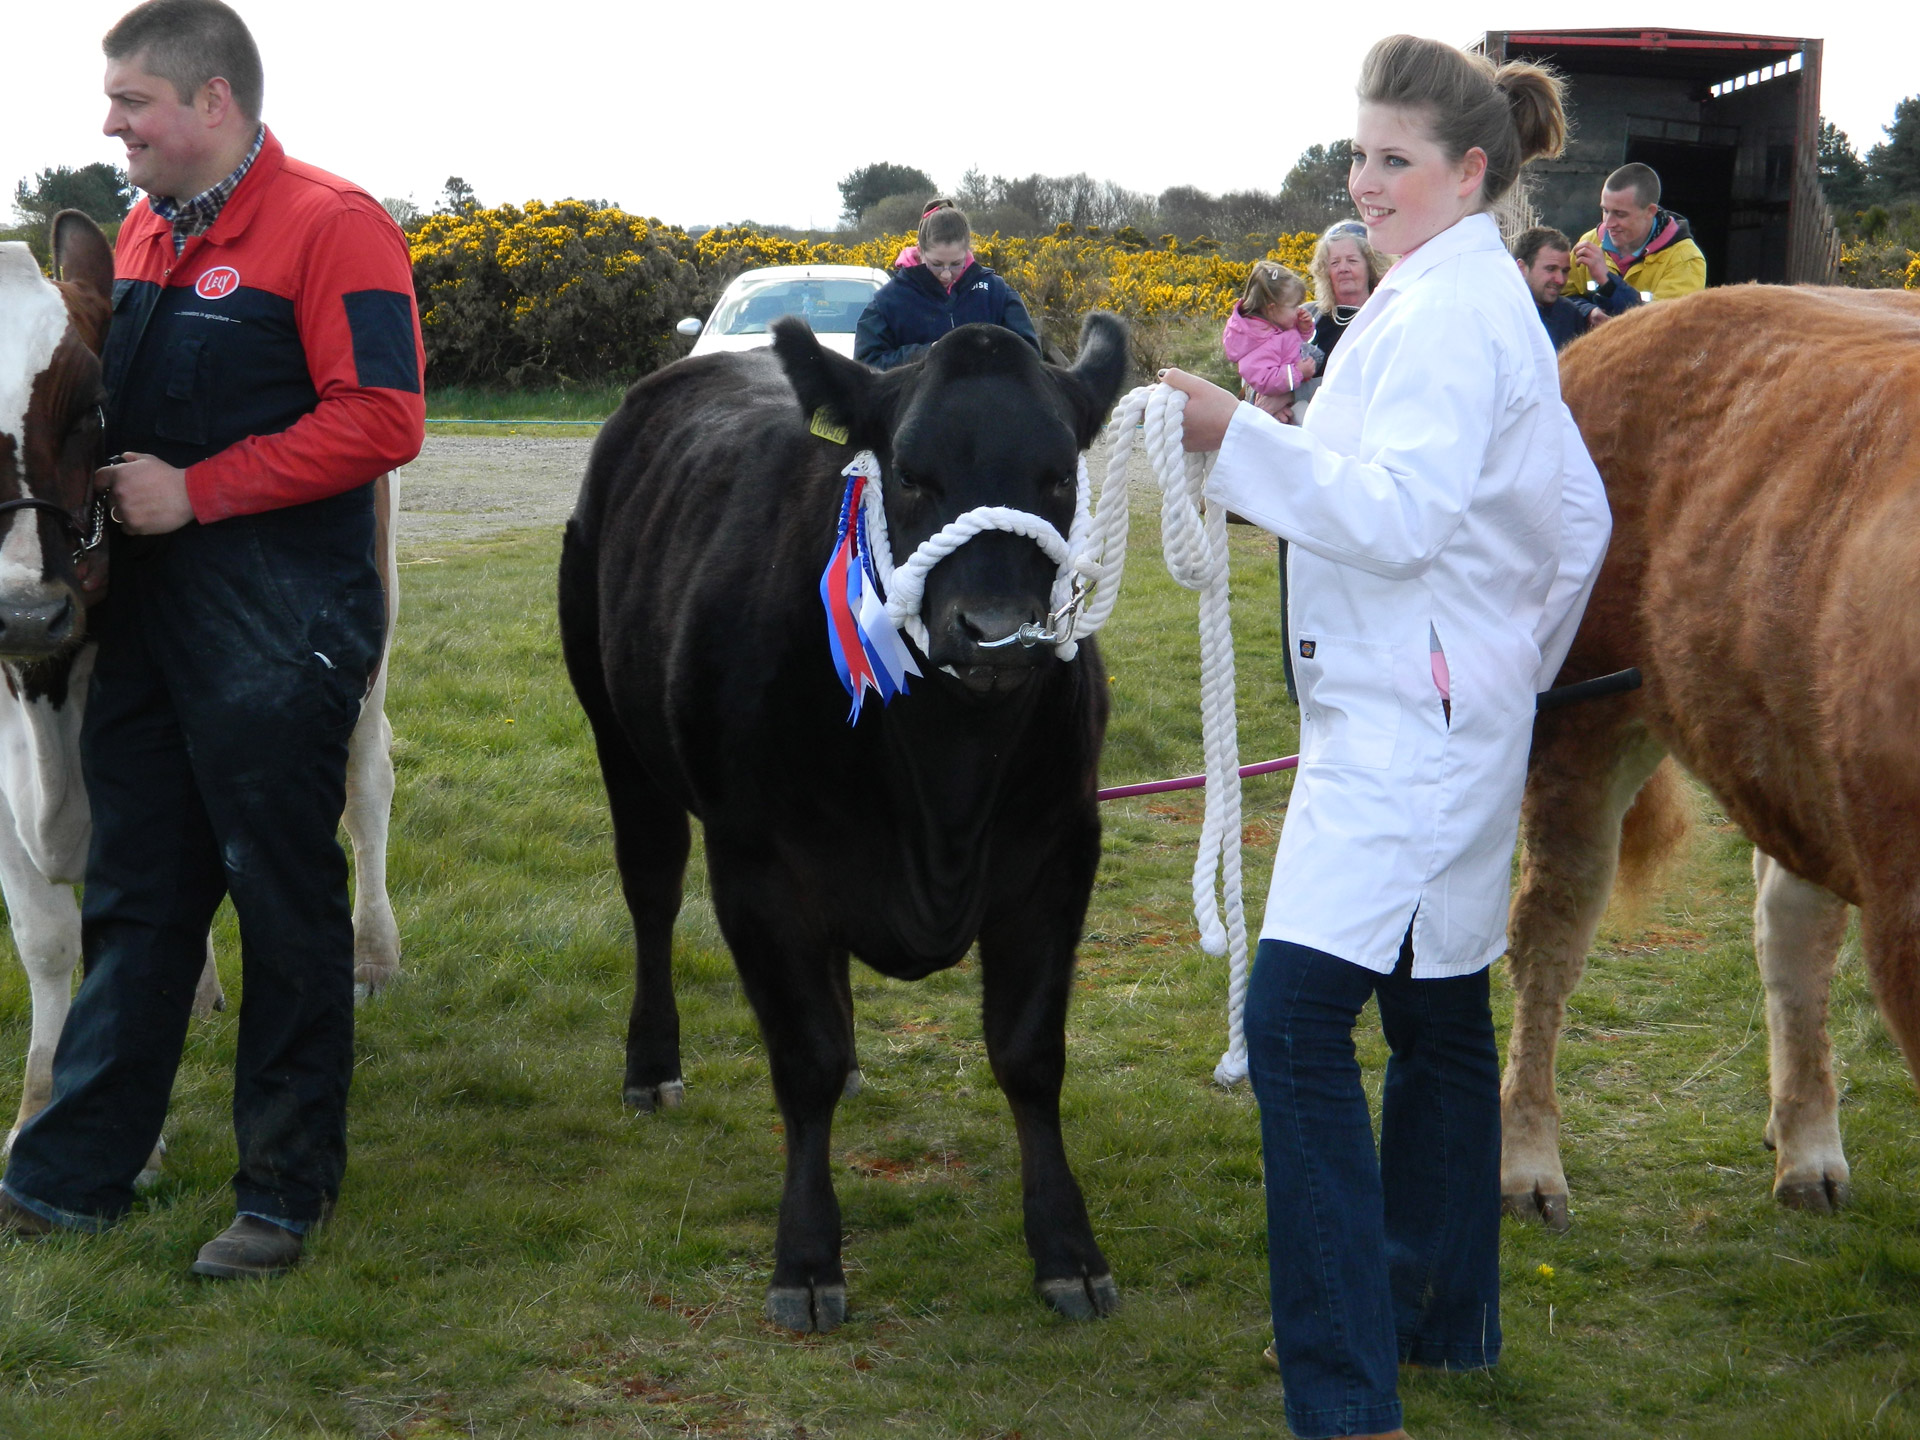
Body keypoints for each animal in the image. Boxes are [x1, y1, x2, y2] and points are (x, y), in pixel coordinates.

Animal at [552, 312, 1121, 1328]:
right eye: (911, 473)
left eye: (1058, 475)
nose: (995, 631)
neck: (945, 786)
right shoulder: (757, 865)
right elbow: (801, 1061)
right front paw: (808, 1261)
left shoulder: (1059, 851)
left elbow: (1028, 1053)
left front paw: (1068, 1250)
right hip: (614, 727)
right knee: (650, 892)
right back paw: (650, 1066)